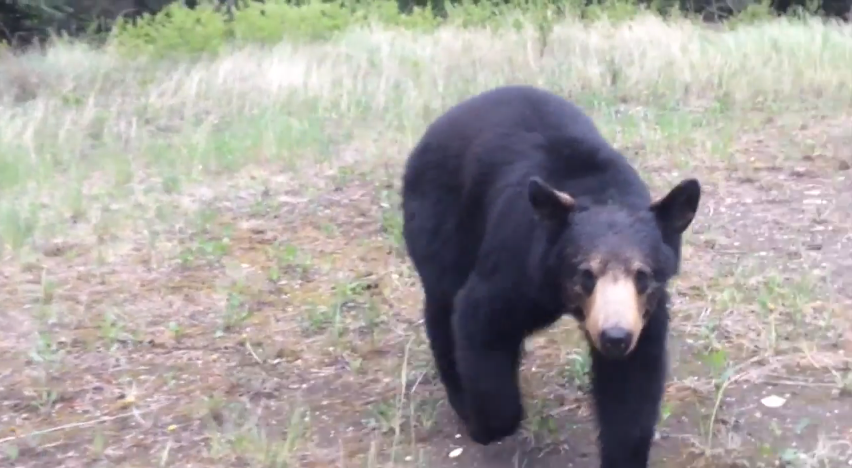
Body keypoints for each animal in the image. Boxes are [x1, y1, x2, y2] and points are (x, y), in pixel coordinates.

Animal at [400, 85, 701, 468]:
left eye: (643, 275)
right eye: (585, 273)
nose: (614, 337)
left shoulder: (643, 311)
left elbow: (632, 383)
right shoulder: (516, 263)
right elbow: (478, 319)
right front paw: (488, 424)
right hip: (439, 218)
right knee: (443, 303)